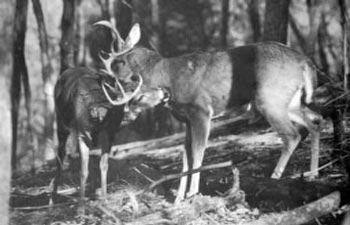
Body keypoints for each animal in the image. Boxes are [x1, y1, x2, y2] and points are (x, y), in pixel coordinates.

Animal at [94, 21, 324, 202]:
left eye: (121, 61)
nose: (126, 114)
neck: (169, 76)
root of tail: (306, 62)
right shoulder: (186, 120)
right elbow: (185, 155)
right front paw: (179, 197)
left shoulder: (202, 111)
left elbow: (198, 152)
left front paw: (192, 193)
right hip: (290, 101)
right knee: (316, 120)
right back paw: (312, 174)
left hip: (270, 99)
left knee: (292, 135)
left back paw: (274, 178)